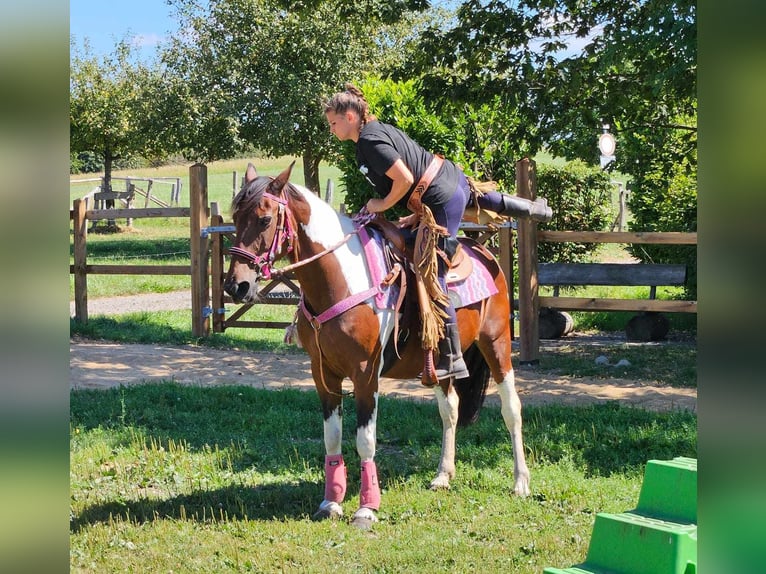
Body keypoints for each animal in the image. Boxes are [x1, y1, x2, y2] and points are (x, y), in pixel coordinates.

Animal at [225, 162, 532, 532]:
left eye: (265, 219)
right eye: (234, 216)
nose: (236, 286)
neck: (341, 279)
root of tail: (486, 254)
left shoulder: (365, 375)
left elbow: (366, 440)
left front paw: (366, 508)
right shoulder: (322, 374)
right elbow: (331, 437)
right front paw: (331, 502)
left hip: (496, 344)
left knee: (512, 409)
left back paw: (521, 482)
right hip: (441, 363)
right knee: (451, 409)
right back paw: (443, 475)